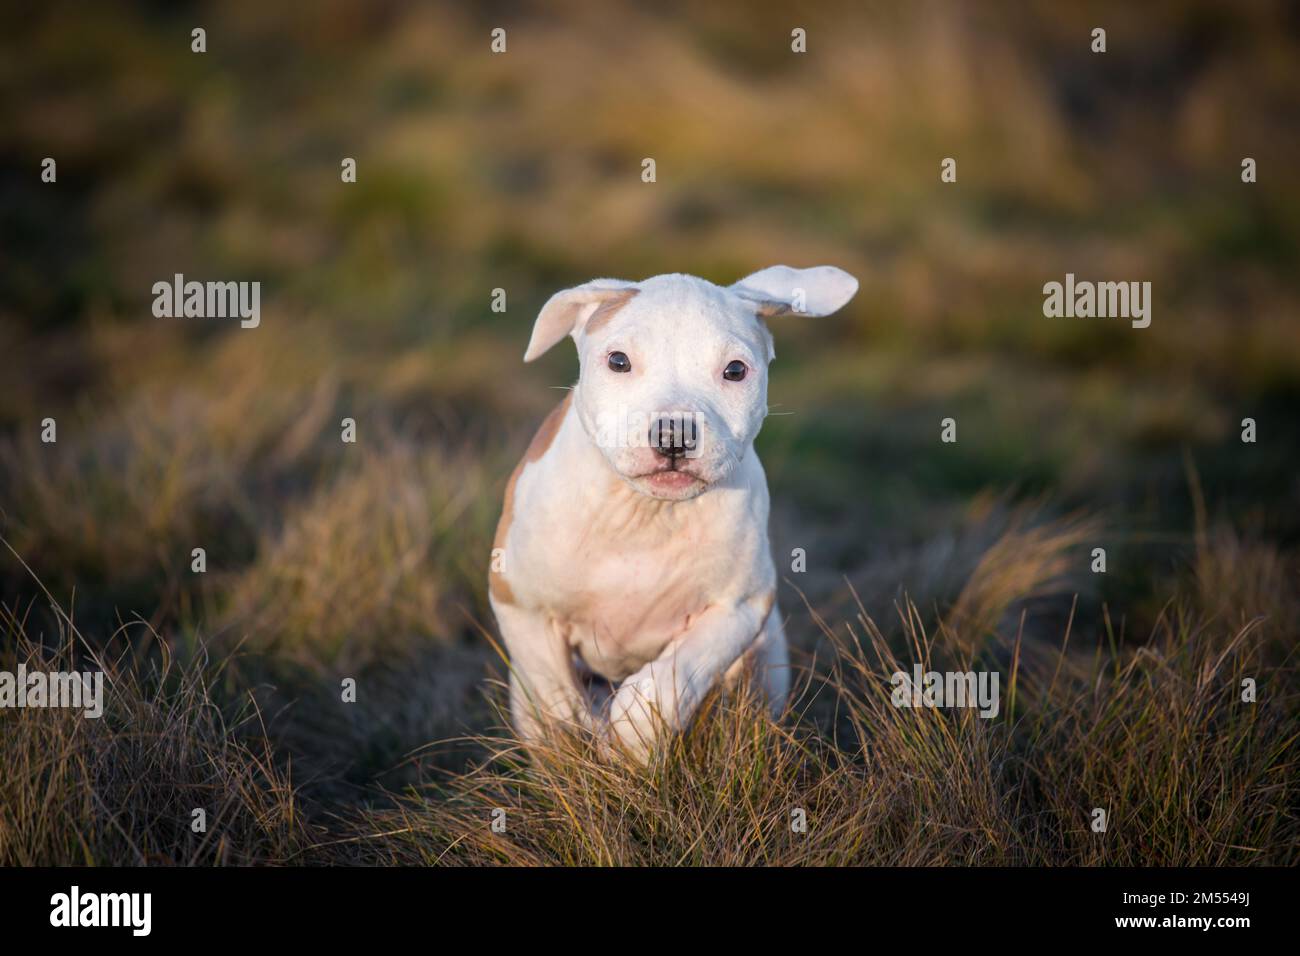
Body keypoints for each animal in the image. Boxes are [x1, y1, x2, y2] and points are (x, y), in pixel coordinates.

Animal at [483, 265, 857, 759]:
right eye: (618, 361)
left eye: (735, 370)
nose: (674, 434)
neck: (646, 513)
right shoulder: (522, 604)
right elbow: (557, 698)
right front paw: (583, 741)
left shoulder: (738, 608)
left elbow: (675, 676)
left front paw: (631, 740)